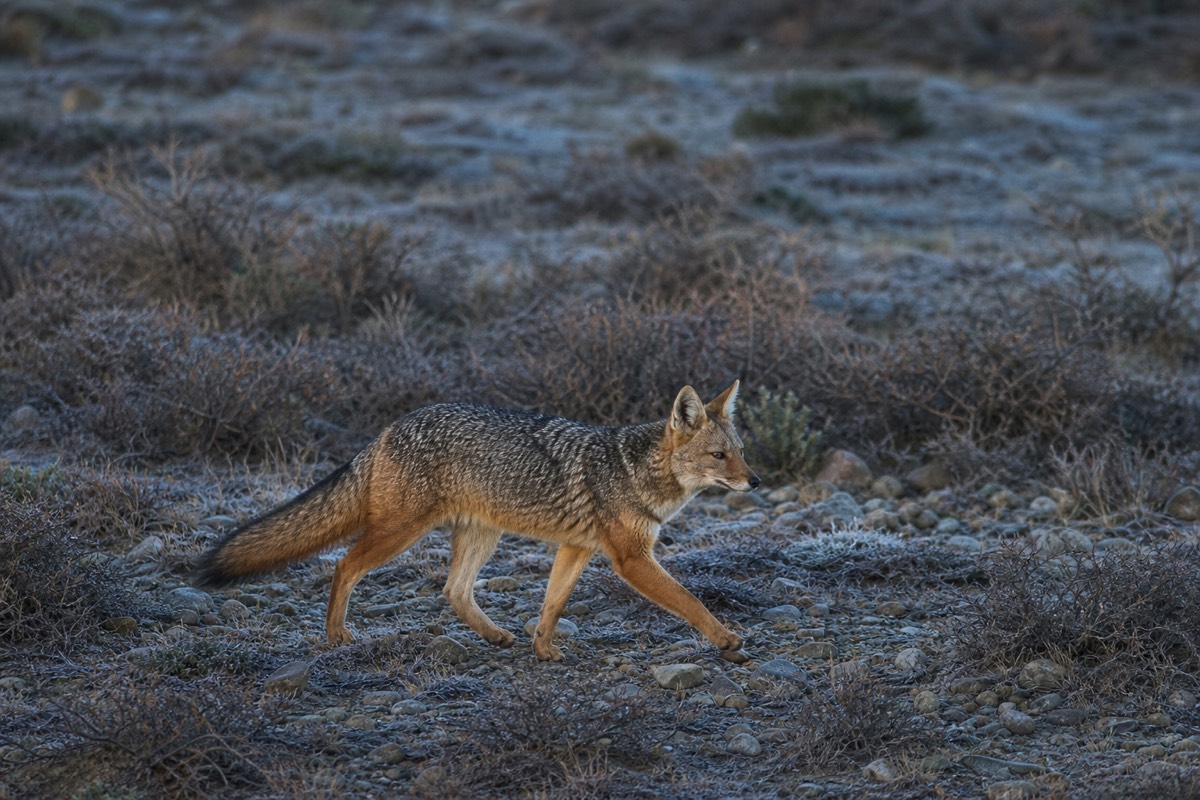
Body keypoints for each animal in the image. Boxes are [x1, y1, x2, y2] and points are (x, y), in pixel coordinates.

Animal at [196, 381, 760, 661]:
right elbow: (690, 601)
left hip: (481, 537)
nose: (755, 481)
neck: (637, 470)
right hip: (401, 533)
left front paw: (543, 648)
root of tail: (388, 429)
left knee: (454, 590)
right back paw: (336, 635)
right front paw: (724, 639)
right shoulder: (630, 558)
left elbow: (552, 604)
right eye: (719, 456)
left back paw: (495, 637)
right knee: (343, 566)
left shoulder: (577, 548)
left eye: (740, 451)